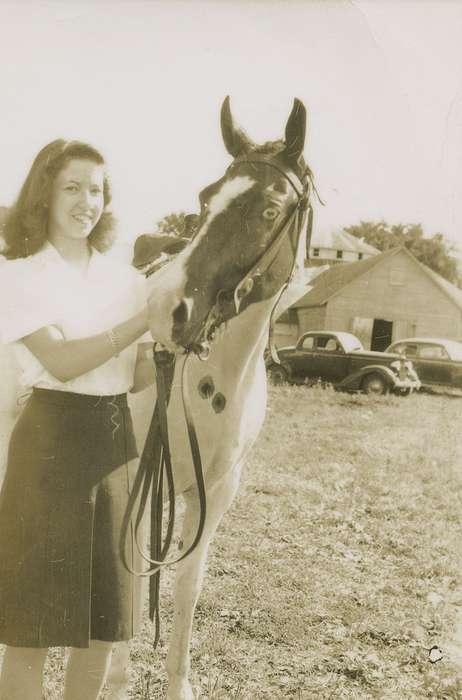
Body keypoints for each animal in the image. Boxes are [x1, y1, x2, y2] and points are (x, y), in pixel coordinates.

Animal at [106, 98, 320, 700]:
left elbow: (187, 586)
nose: (165, 308)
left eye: (270, 209)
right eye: (206, 198)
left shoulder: (215, 492)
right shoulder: (135, 477)